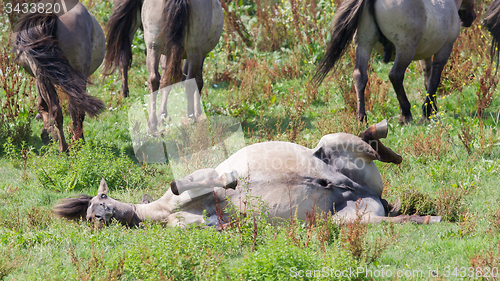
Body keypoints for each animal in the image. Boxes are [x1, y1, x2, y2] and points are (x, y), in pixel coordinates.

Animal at [13, 0, 105, 152]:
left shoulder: (39, 77)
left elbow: (43, 106)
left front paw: (48, 133)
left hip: (42, 74)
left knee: (56, 110)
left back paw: (63, 147)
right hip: (77, 75)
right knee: (75, 110)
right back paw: (75, 143)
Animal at [52, 119, 440, 226]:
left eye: (103, 197)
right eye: (89, 216)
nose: (101, 216)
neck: (164, 212)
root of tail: (371, 195)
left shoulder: (201, 174)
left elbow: (185, 182)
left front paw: (232, 181)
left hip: (335, 144)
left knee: (366, 145)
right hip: (350, 218)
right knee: (395, 221)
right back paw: (428, 218)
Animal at [102, 0, 224, 131]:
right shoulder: (200, 53)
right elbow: (198, 81)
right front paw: (198, 112)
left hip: (153, 45)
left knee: (152, 78)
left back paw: (153, 121)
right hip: (193, 49)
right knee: (188, 82)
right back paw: (189, 118)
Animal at [312, 0, 476, 123]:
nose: (472, 17)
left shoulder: (426, 55)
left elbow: (427, 81)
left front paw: (433, 109)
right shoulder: (444, 49)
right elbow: (434, 81)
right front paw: (427, 113)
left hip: (364, 44)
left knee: (360, 76)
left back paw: (362, 117)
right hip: (405, 48)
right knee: (396, 75)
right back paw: (406, 114)